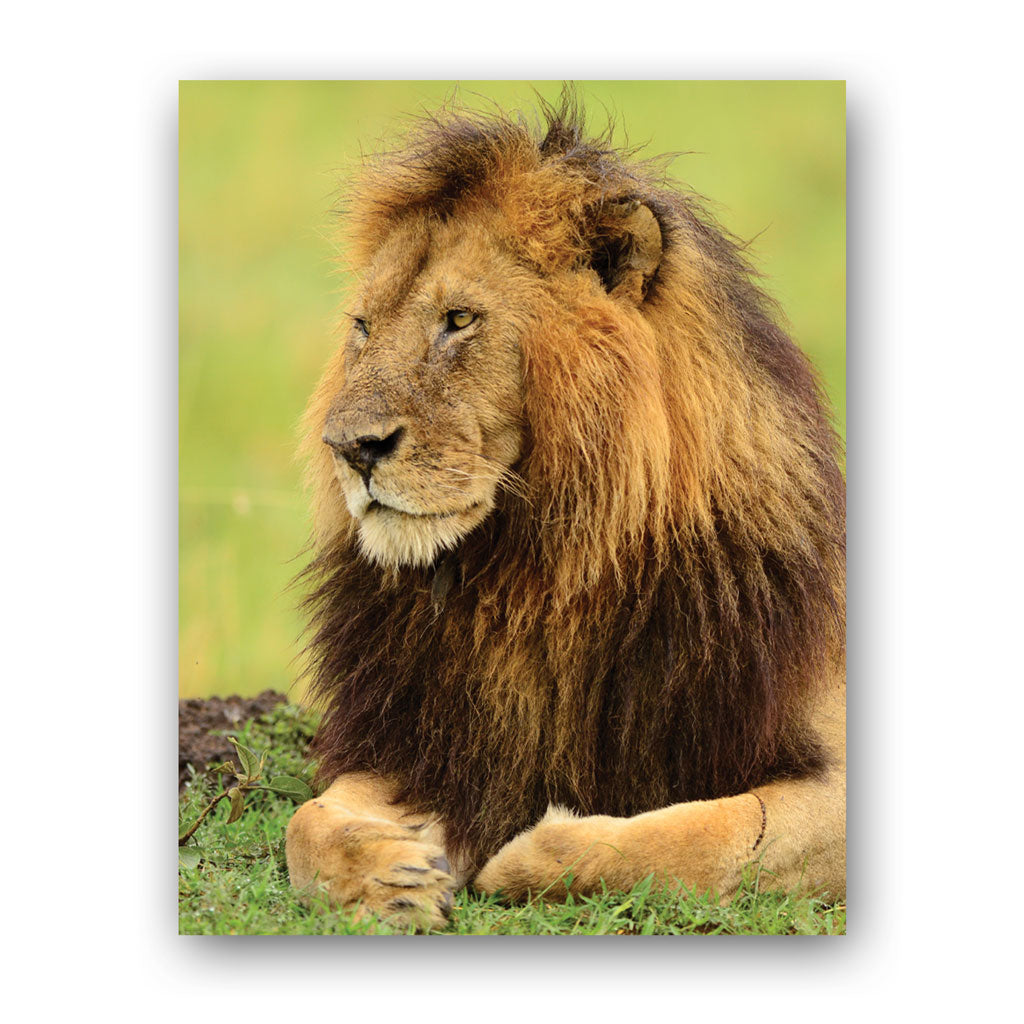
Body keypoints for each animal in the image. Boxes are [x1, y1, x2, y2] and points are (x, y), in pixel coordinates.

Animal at [285, 95, 846, 931]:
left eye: (460, 320)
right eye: (362, 327)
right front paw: (393, 876)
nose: (348, 447)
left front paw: (520, 855)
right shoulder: (422, 742)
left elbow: (706, 837)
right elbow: (310, 821)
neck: (541, 573)